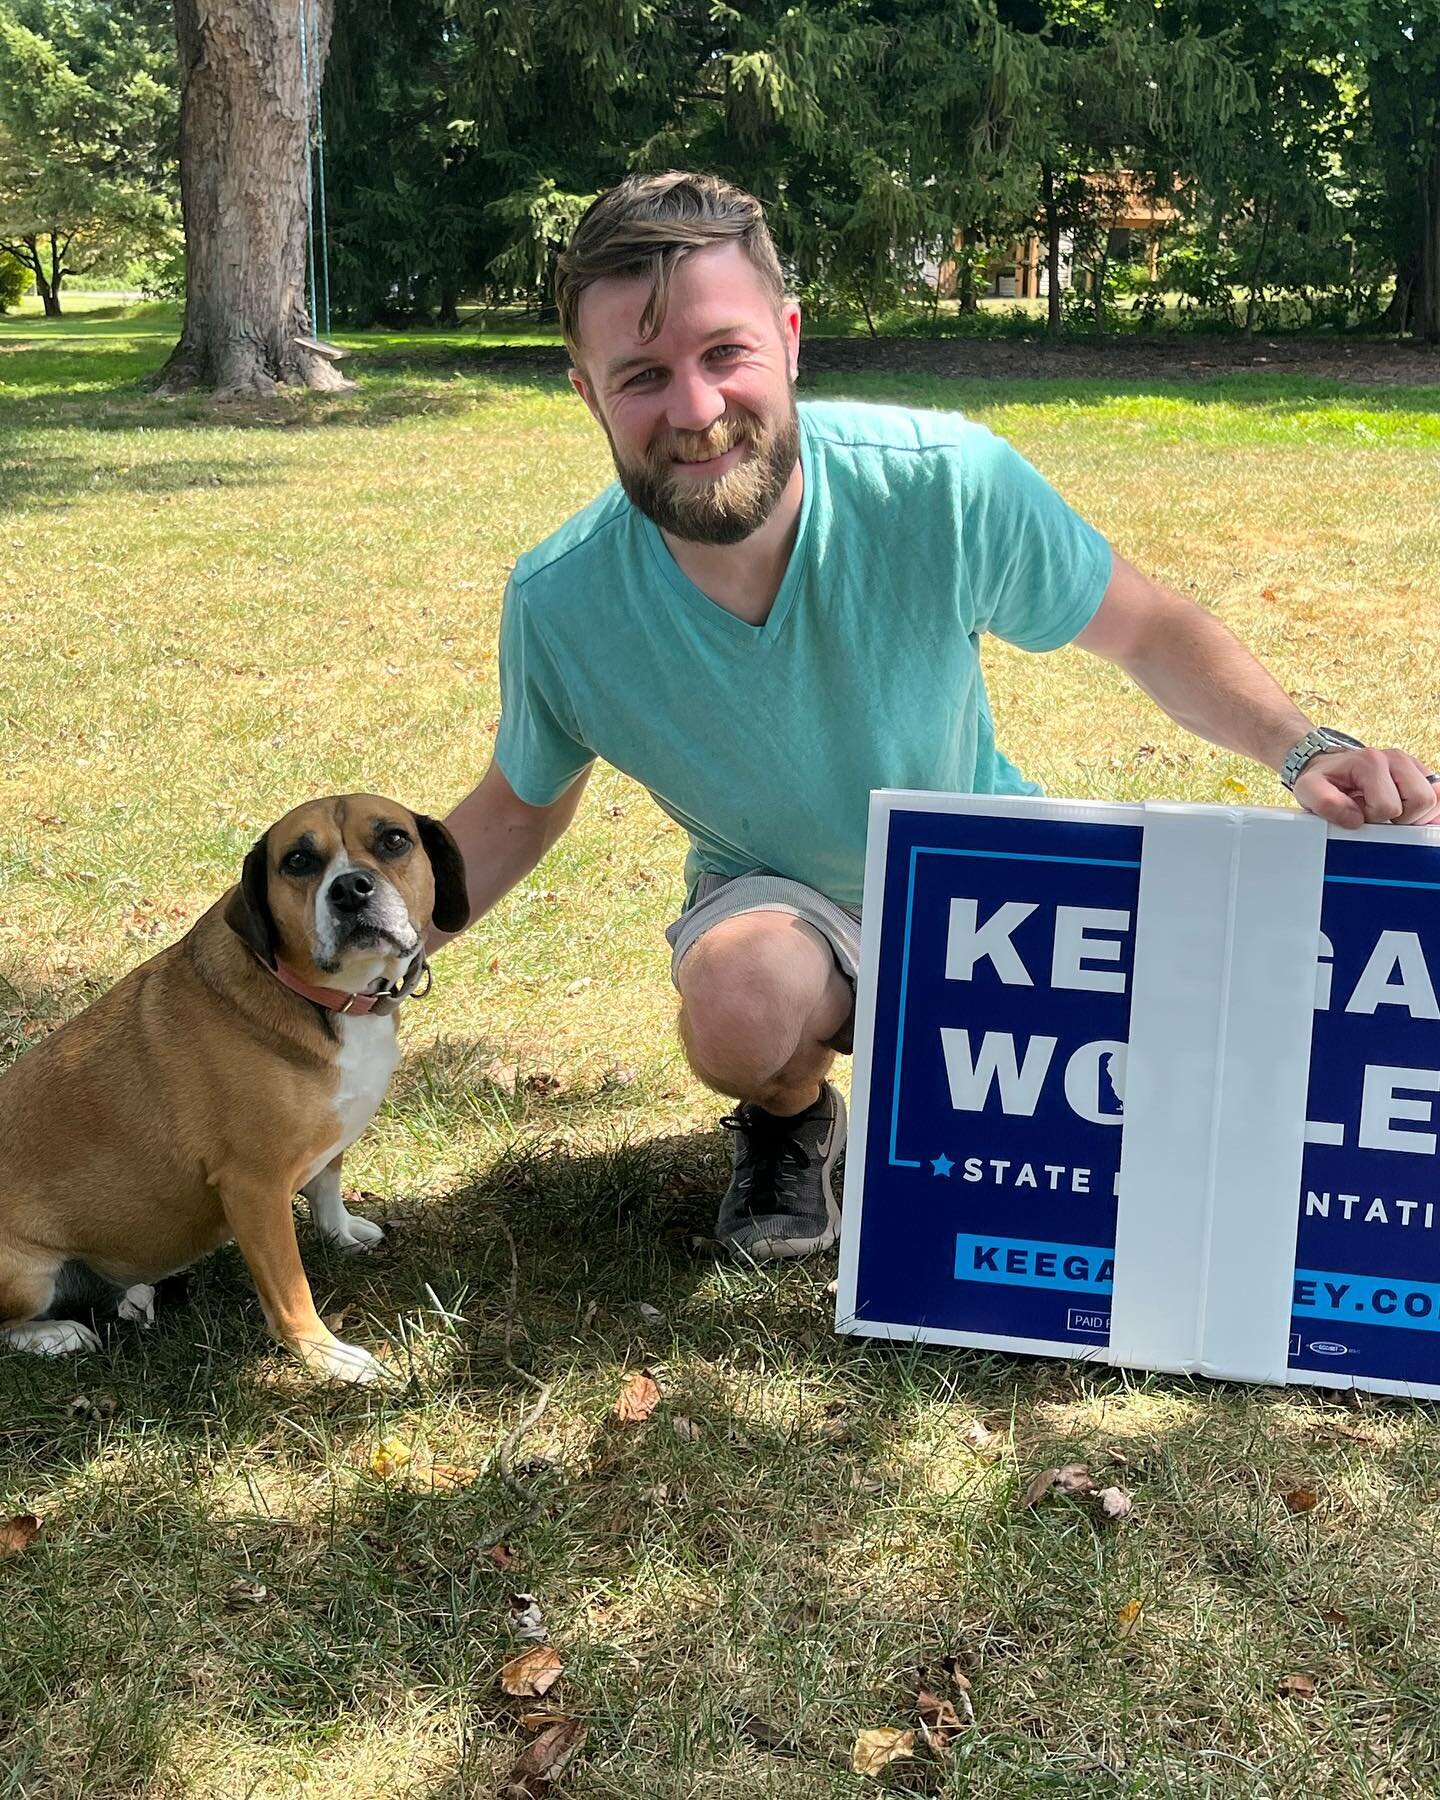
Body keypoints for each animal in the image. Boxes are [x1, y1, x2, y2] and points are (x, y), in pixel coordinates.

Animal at [0, 795, 468, 1382]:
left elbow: (327, 1188)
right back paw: (56, 1334)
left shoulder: (328, 1140)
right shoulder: (254, 1187)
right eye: (298, 861)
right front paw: (327, 1355)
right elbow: (291, 1291)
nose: (351, 889)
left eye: (394, 840)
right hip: (25, 1274)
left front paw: (340, 1233)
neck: (325, 998)